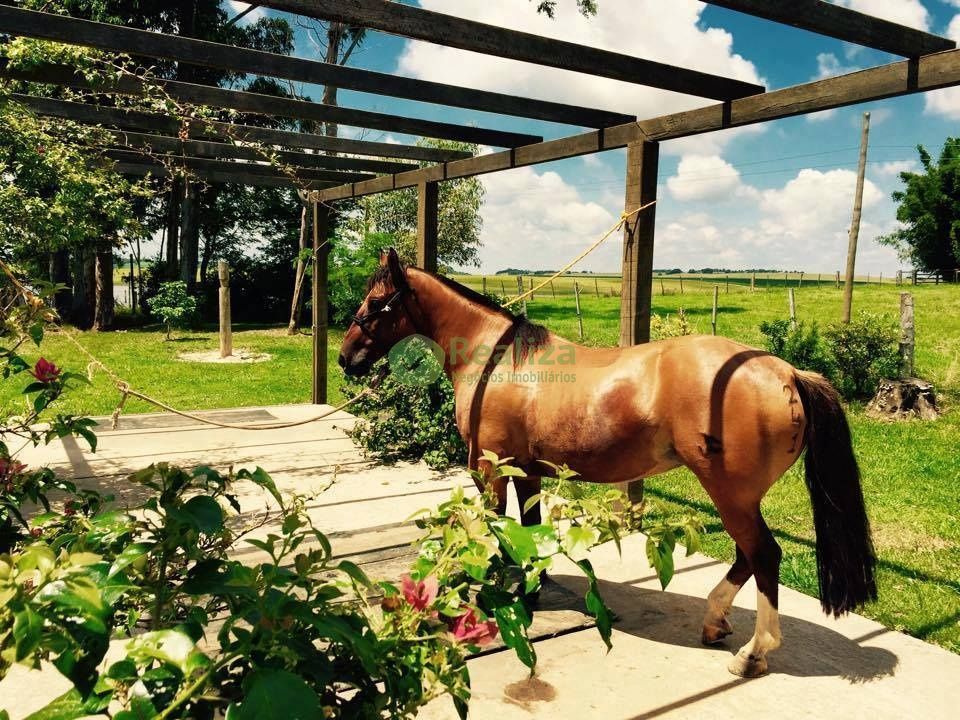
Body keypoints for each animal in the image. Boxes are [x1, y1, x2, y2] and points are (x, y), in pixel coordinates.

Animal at [342, 250, 872, 676]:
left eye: (374, 302)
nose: (347, 358)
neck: (496, 359)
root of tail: (786, 372)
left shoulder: (491, 471)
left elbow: (490, 531)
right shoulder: (527, 472)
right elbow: (527, 531)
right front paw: (529, 590)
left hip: (731, 494)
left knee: (763, 555)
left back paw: (752, 653)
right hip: (740, 497)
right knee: (748, 556)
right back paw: (715, 622)